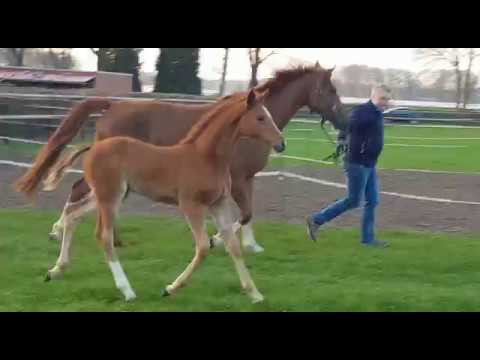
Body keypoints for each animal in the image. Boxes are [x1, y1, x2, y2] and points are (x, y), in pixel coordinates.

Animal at [43, 88, 284, 302]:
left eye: (269, 116)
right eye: (260, 117)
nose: (281, 144)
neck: (206, 157)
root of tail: (94, 147)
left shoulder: (219, 204)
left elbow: (233, 247)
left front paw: (254, 294)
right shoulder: (191, 205)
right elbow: (203, 247)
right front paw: (170, 288)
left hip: (104, 196)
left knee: (73, 213)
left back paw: (56, 269)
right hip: (110, 197)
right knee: (104, 236)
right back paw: (127, 290)